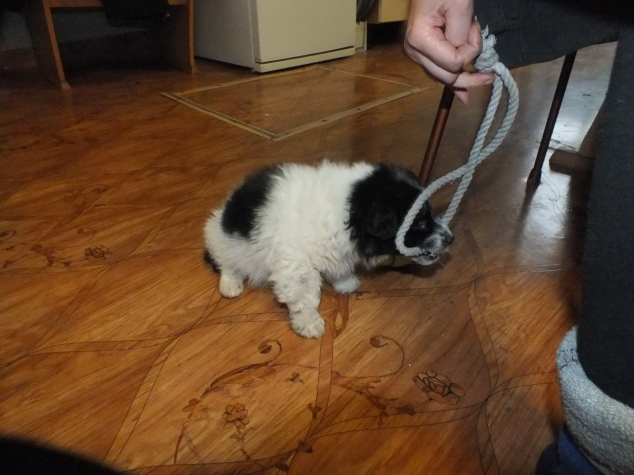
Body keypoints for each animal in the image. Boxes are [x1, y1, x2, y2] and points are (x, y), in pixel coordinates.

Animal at [203, 161, 453, 338]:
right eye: (421, 223)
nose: (451, 238)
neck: (347, 210)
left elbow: (338, 267)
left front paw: (345, 282)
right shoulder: (295, 265)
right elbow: (305, 298)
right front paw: (309, 324)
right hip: (222, 239)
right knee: (224, 262)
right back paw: (231, 283)